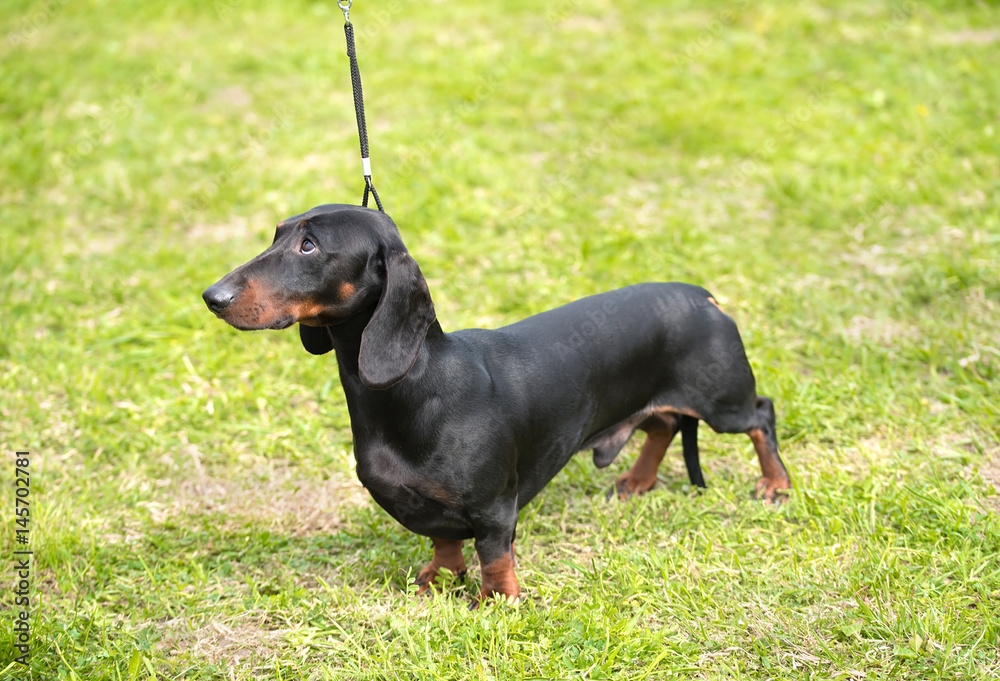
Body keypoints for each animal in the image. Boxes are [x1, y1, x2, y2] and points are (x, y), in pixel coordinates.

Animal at [203, 203, 792, 604]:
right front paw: (439, 580)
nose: (212, 297)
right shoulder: (436, 512)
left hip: (725, 403)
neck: (420, 387)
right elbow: (443, 541)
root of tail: (701, 294)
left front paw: (496, 601)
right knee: (663, 424)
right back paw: (637, 480)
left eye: (309, 246)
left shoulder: (494, 508)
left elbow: (494, 556)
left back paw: (775, 485)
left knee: (760, 414)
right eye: (277, 233)